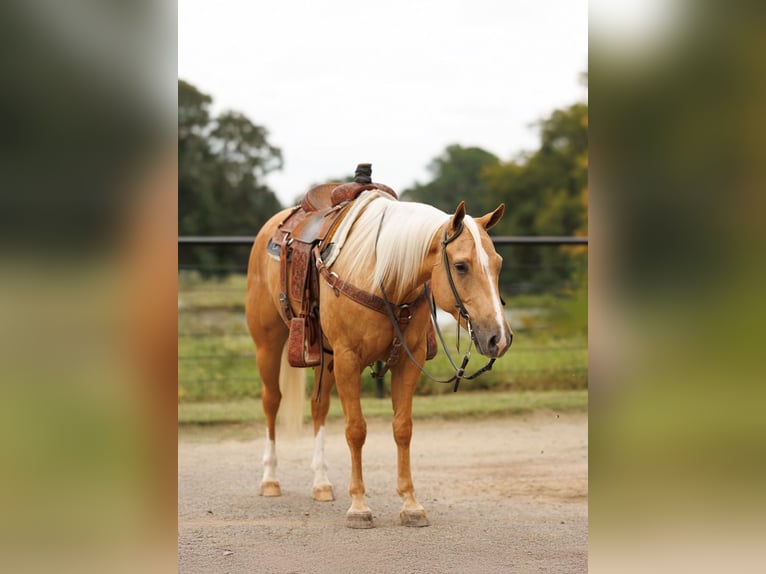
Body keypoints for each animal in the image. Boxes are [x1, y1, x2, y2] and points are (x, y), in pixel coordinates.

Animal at [245, 178, 512, 529]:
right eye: (461, 266)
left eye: (498, 264)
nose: (499, 338)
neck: (383, 276)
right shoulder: (348, 359)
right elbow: (356, 430)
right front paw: (359, 506)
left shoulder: (407, 361)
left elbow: (403, 429)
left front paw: (411, 504)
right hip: (269, 344)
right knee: (271, 401)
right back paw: (270, 479)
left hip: (325, 357)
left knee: (318, 407)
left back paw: (321, 483)